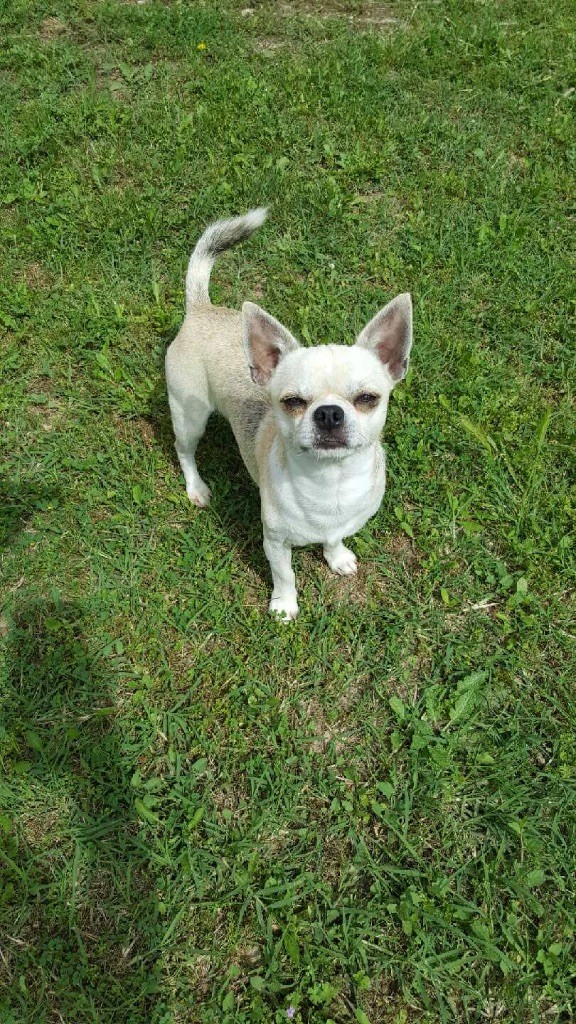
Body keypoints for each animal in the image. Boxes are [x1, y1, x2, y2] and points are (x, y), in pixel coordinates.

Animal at [165, 209, 412, 619]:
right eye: (293, 401)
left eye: (367, 398)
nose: (328, 413)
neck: (330, 482)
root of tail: (201, 310)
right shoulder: (275, 542)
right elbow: (285, 575)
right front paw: (284, 606)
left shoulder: (341, 524)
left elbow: (334, 539)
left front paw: (336, 557)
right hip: (190, 415)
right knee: (184, 451)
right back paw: (196, 487)